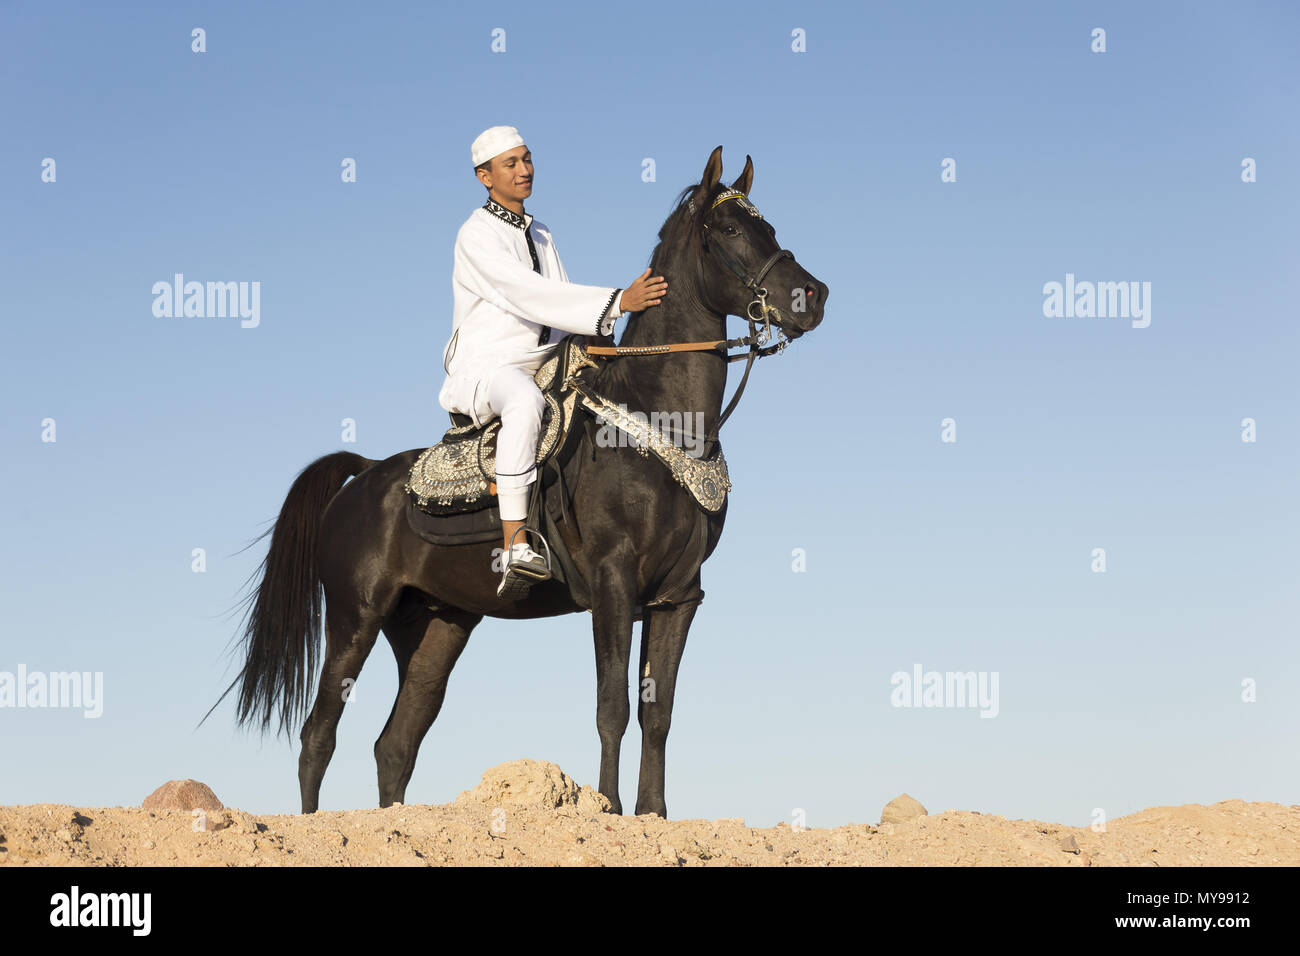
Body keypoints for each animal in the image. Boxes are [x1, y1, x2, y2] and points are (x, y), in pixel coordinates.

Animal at [210, 147, 821, 816]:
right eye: (731, 230)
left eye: (769, 227)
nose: (812, 296)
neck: (662, 425)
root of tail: (365, 475)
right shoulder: (613, 585)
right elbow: (612, 708)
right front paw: (608, 807)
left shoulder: (678, 596)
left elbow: (657, 714)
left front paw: (654, 814)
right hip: (354, 618)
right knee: (319, 734)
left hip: (436, 628)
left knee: (395, 745)